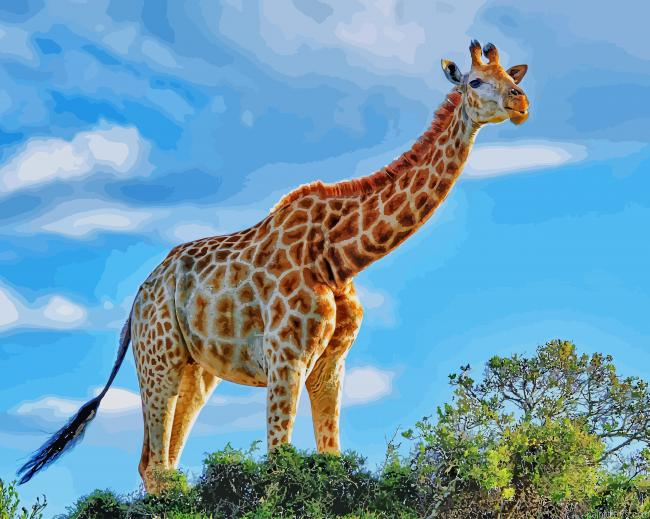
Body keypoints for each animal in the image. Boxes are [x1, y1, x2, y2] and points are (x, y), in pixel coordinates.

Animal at [17, 41, 529, 492]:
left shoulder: (330, 366)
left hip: (194, 372)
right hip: (157, 359)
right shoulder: (286, 358)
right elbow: (279, 463)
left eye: (513, 76)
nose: (521, 101)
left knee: (162, 464)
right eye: (476, 81)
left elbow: (330, 458)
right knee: (155, 464)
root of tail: (136, 301)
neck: (342, 256)